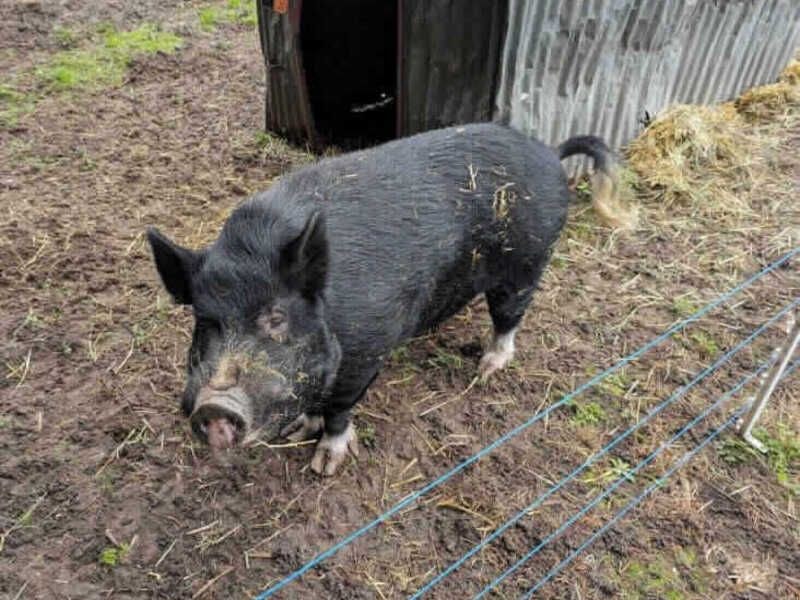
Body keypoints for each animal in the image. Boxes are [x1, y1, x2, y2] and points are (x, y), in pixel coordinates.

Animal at [147, 123, 630, 475]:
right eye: (204, 321)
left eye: (276, 317)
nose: (213, 405)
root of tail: (550, 152)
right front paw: (298, 430)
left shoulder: (367, 351)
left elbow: (340, 409)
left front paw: (324, 465)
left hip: (529, 262)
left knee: (510, 316)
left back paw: (488, 368)